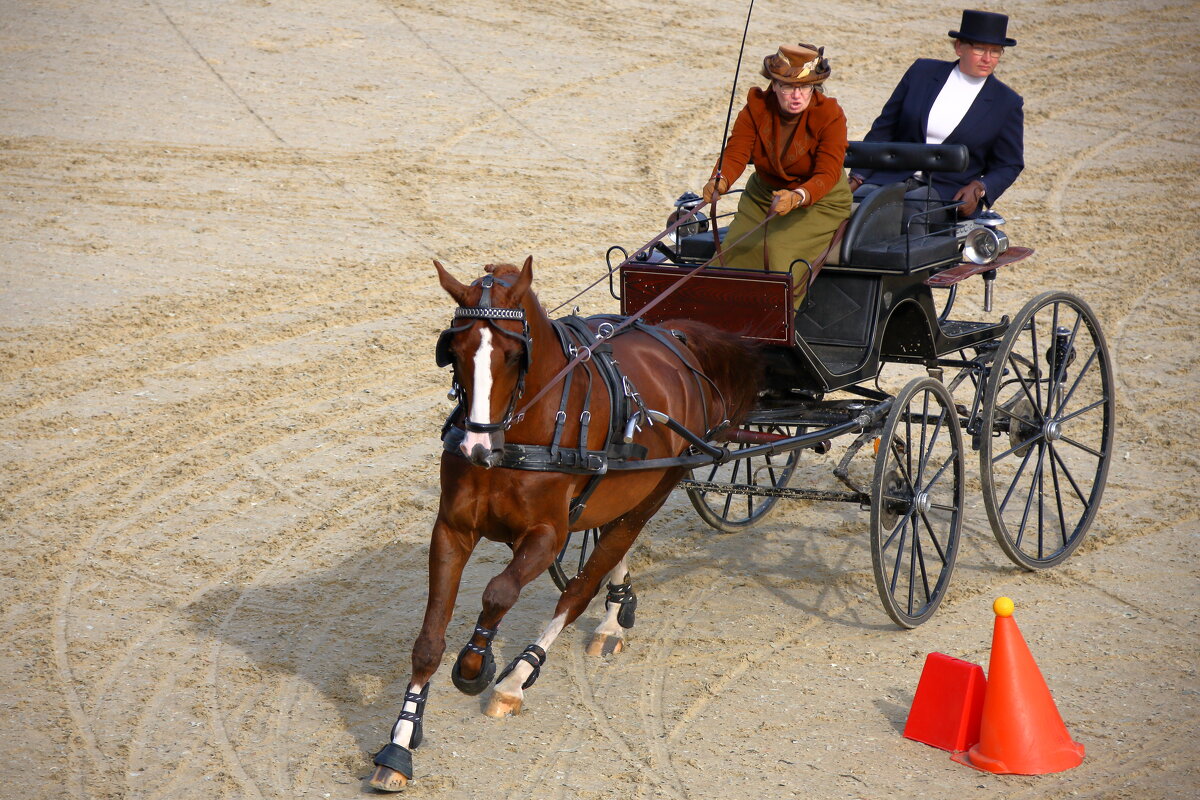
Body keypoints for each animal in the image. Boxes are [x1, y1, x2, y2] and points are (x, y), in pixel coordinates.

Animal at [364, 257, 758, 796]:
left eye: (514, 355)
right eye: (455, 351)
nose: (474, 448)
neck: (516, 438)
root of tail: (675, 339)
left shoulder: (547, 537)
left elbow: (500, 592)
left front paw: (477, 665)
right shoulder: (450, 530)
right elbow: (428, 641)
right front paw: (400, 743)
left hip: (657, 488)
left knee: (582, 585)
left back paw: (519, 677)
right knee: (606, 547)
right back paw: (616, 607)